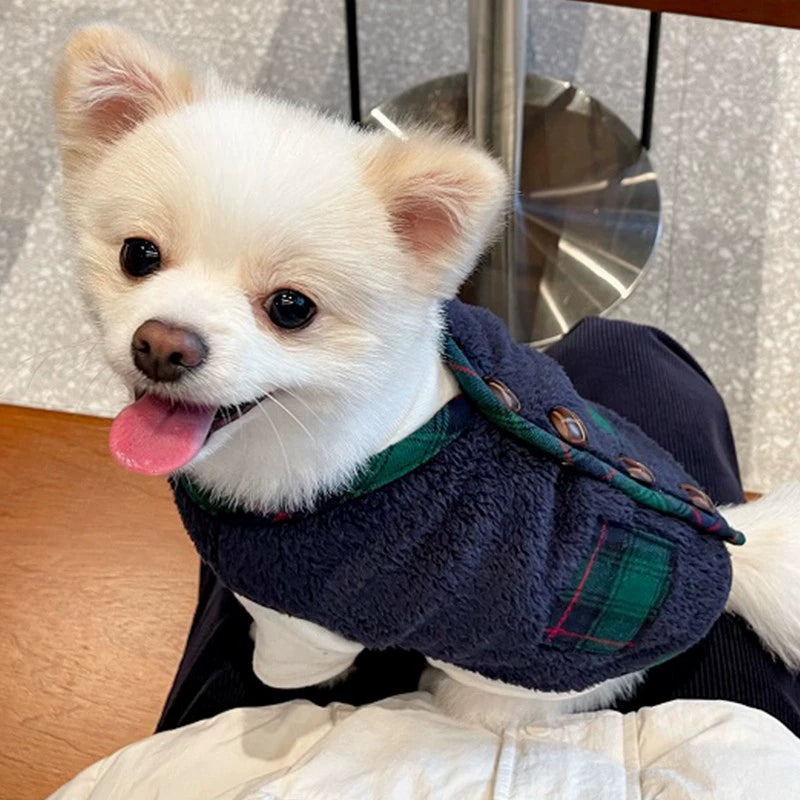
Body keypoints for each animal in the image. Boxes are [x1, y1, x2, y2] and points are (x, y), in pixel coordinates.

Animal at [53, 25, 800, 728]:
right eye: (138, 254)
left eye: (291, 308)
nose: (162, 345)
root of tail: (730, 566)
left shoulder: (304, 627)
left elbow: (292, 670)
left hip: (514, 685)